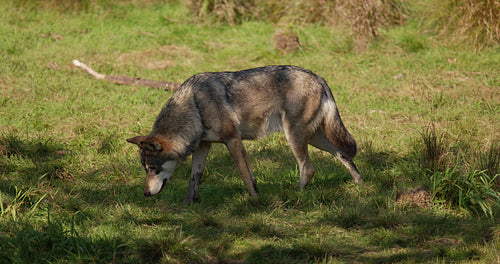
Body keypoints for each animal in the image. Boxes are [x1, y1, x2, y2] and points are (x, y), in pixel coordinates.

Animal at [127, 65, 362, 203]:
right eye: (146, 169)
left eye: (153, 169)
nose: (145, 194)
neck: (195, 107)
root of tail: (318, 76)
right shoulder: (203, 146)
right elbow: (194, 178)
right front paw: (188, 204)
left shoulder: (233, 140)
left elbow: (245, 175)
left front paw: (255, 200)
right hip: (314, 138)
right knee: (344, 154)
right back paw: (360, 183)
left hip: (295, 137)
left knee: (309, 168)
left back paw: (296, 193)